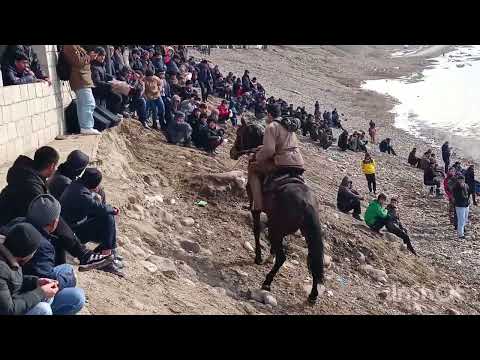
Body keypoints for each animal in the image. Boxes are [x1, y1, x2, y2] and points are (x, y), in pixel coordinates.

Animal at [230, 118, 326, 304]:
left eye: (239, 133)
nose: (233, 152)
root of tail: (307, 204)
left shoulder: (255, 206)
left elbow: (256, 229)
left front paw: (259, 257)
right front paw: (269, 256)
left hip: (278, 228)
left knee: (283, 258)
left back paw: (267, 282)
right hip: (305, 233)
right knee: (313, 261)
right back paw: (313, 295)